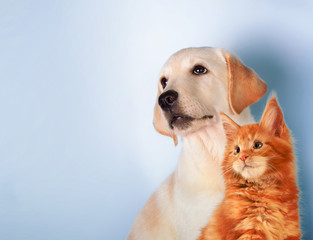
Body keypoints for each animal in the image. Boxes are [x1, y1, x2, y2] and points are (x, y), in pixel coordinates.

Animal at [197, 96, 300, 239]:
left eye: (257, 145)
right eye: (237, 150)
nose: (243, 156)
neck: (264, 191)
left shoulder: (291, 230)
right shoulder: (250, 230)